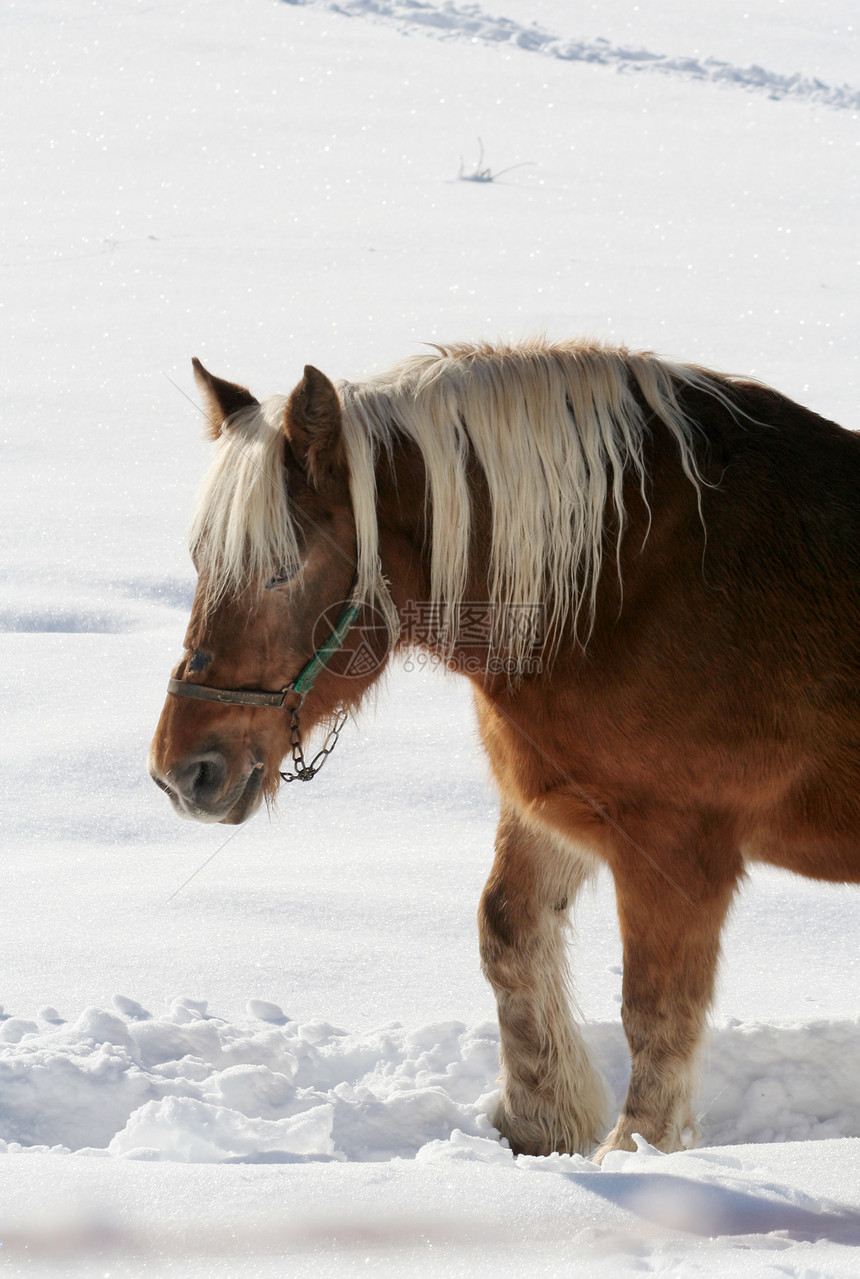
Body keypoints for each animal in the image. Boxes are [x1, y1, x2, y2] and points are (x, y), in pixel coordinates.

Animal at [147, 337, 860, 1161]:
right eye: (199, 558)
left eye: (284, 567)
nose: (183, 772)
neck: (625, 590)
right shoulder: (554, 807)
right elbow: (508, 935)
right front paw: (538, 1124)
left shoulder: (677, 845)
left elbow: (655, 1009)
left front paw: (634, 1150)